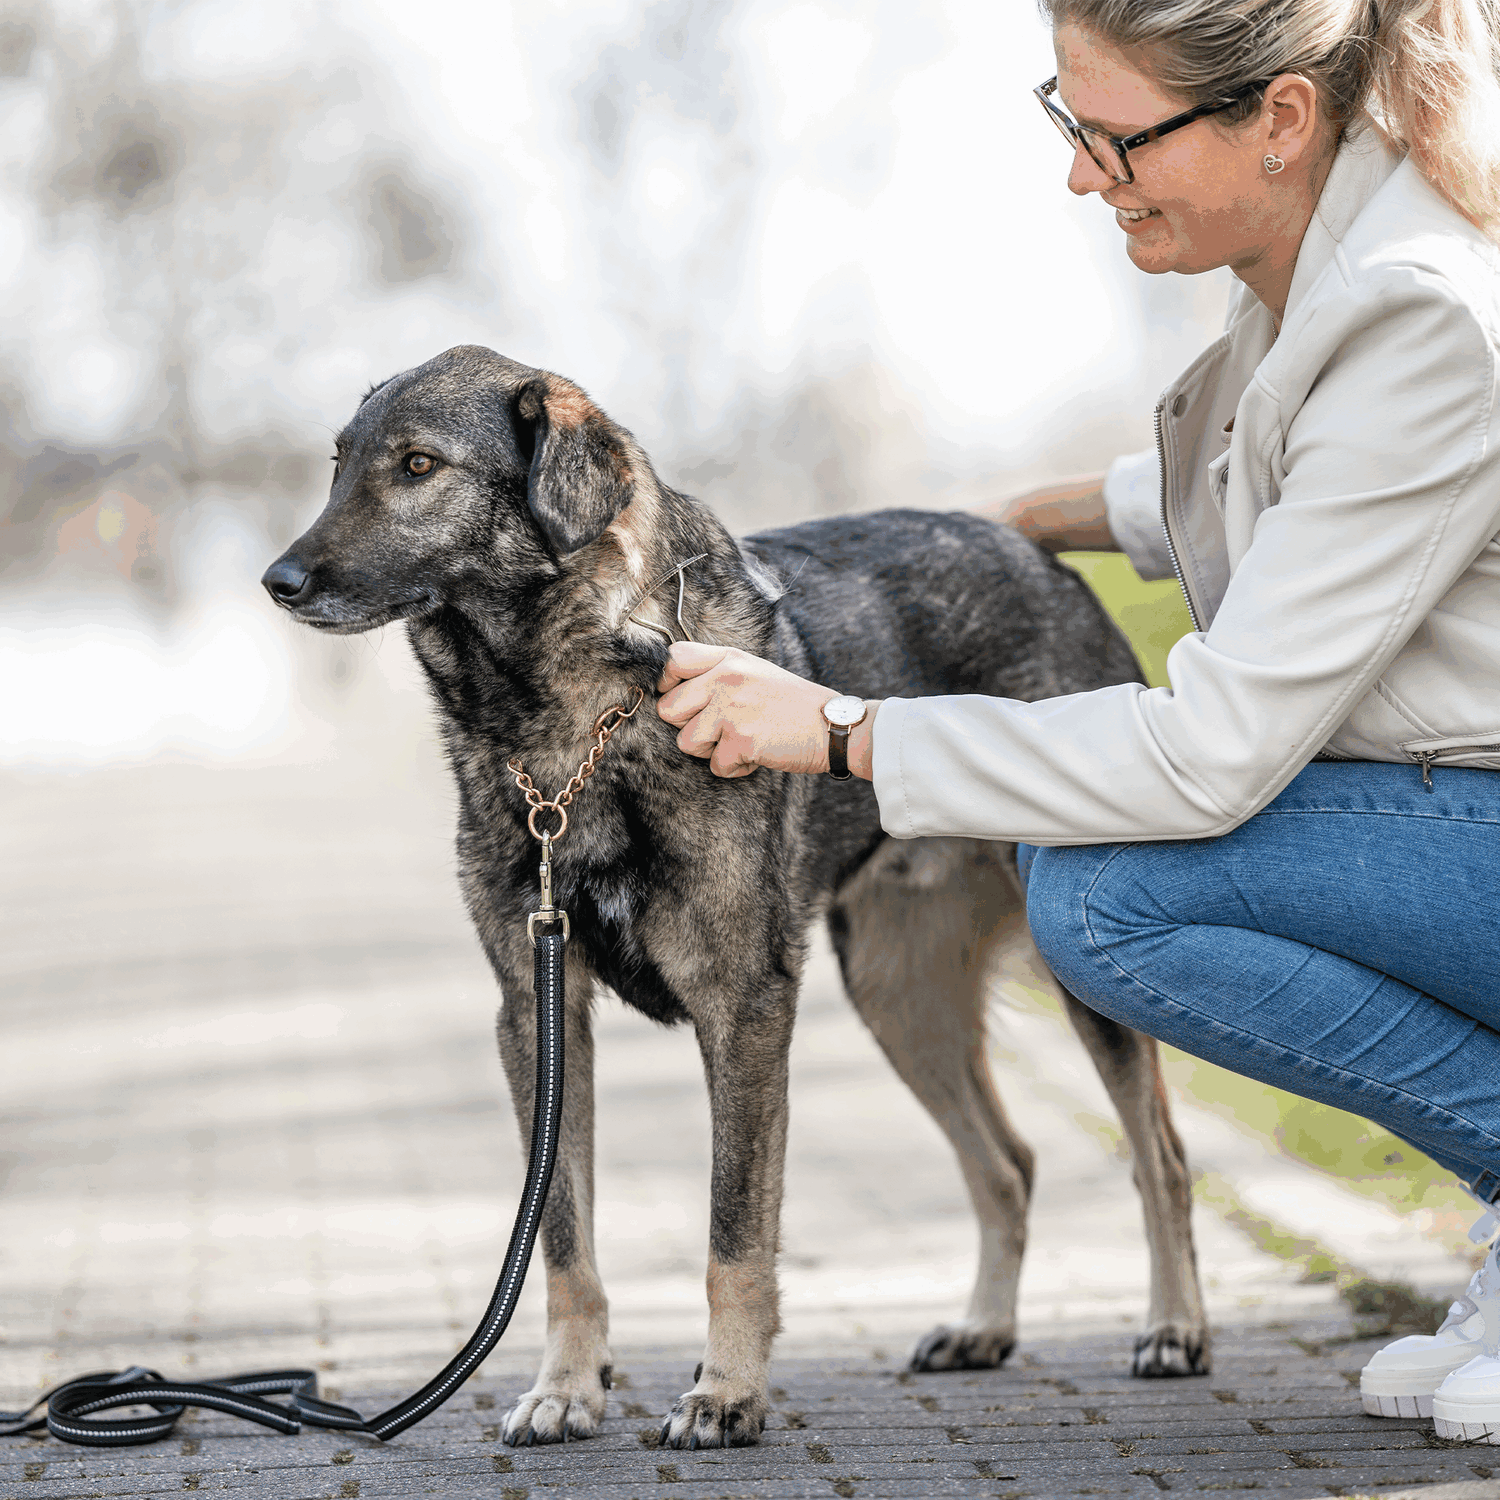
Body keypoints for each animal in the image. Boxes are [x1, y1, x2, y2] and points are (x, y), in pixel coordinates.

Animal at [264, 345, 1212, 1446]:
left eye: (418, 465)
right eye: (340, 464)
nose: (278, 581)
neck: (573, 721)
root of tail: (1028, 549)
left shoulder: (742, 1006)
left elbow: (734, 1234)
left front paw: (725, 1391)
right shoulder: (539, 1014)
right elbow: (564, 1242)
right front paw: (566, 1387)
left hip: (1062, 988)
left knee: (1160, 1158)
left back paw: (1175, 1330)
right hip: (897, 998)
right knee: (1007, 1163)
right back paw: (984, 1328)